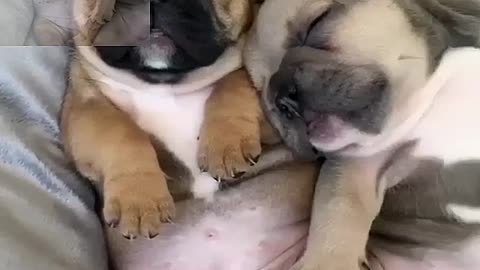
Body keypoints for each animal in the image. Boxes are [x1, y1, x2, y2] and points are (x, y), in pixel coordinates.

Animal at [61, 0, 264, 240]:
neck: (164, 84)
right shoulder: (85, 104)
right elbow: (119, 131)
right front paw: (138, 195)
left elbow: (233, 82)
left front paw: (227, 142)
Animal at [246, 0, 480, 268]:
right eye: (262, 92)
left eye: (316, 22)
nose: (280, 95)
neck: (426, 98)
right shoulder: (359, 168)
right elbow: (339, 212)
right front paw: (327, 260)